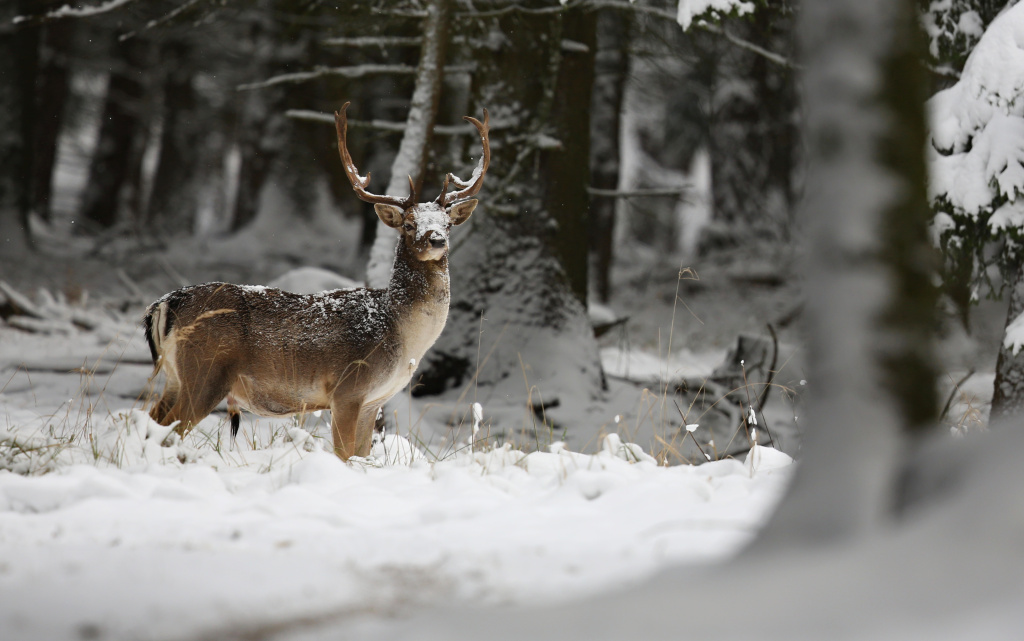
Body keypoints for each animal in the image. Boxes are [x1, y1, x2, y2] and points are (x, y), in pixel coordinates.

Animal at [142, 102, 489, 460]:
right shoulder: (348, 388)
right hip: (205, 371)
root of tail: (165, 302)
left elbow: (361, 455)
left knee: (151, 422)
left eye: (447, 223)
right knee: (170, 430)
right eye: (408, 224)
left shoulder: (373, 401)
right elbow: (344, 455)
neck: (402, 334)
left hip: (175, 377)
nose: (436, 239)